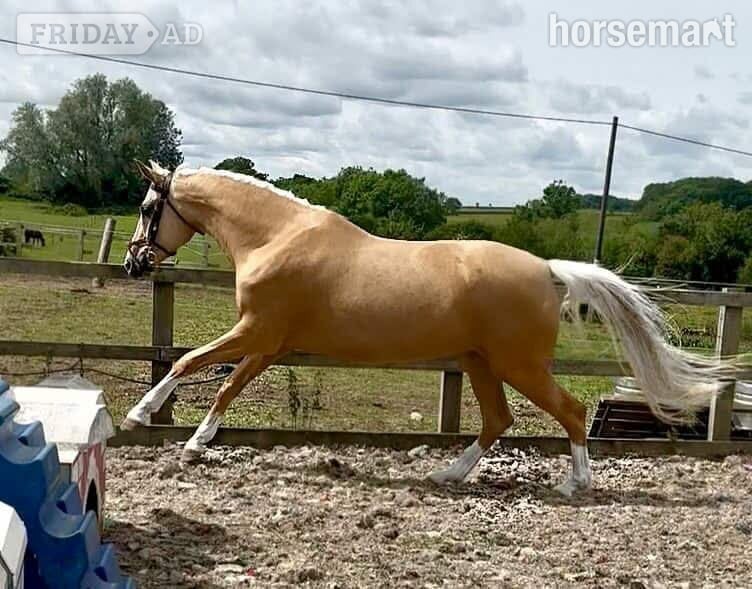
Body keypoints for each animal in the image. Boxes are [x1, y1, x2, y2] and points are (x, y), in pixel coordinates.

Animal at [122, 160, 726, 496]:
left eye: (149, 207)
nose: (133, 262)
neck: (277, 237)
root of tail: (548, 270)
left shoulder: (257, 334)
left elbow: (193, 365)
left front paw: (150, 421)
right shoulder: (268, 344)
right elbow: (224, 381)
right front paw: (187, 438)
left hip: (519, 365)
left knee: (571, 411)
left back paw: (574, 483)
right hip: (480, 363)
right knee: (498, 419)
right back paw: (447, 476)